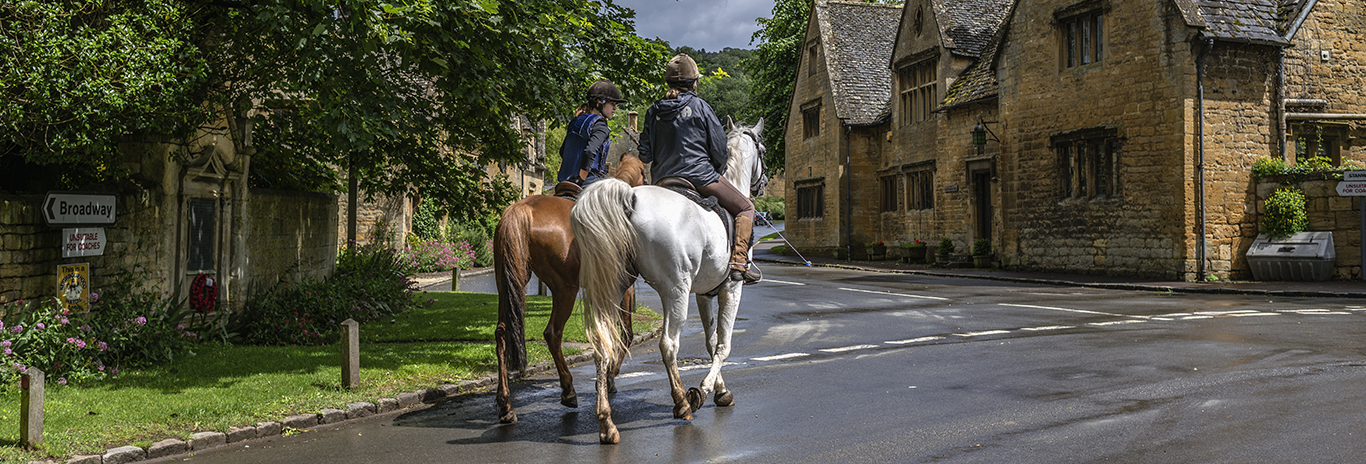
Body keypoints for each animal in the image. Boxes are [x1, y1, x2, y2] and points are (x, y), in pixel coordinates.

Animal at [494, 152, 647, 423]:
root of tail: (522, 208)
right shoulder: (622, 287)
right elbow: (625, 332)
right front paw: (610, 376)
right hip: (565, 288)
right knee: (552, 333)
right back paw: (568, 390)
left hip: (508, 282)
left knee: (502, 333)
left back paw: (506, 404)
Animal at [568, 118, 770, 442]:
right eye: (762, 150)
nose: (764, 183)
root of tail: (631, 197)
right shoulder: (731, 288)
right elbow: (723, 345)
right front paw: (704, 390)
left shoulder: (704, 293)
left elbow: (710, 342)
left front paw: (721, 390)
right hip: (675, 291)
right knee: (668, 345)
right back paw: (682, 403)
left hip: (613, 288)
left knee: (602, 346)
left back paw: (607, 422)